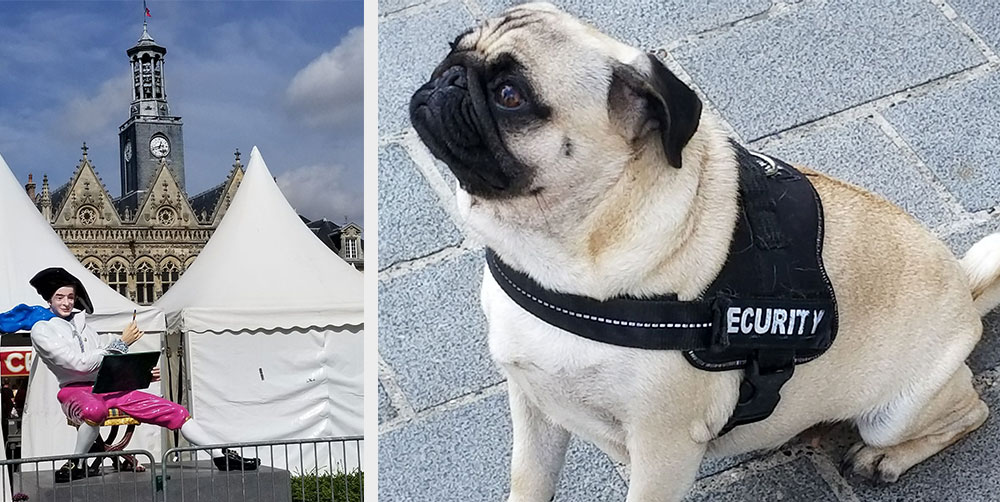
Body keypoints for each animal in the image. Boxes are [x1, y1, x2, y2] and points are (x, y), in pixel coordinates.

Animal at [406, 2, 1000, 498]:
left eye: (511, 96)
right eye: (453, 46)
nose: (448, 77)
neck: (563, 248)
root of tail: (965, 294)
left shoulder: (662, 446)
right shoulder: (533, 406)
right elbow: (528, 483)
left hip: (896, 413)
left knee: (971, 412)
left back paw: (885, 459)